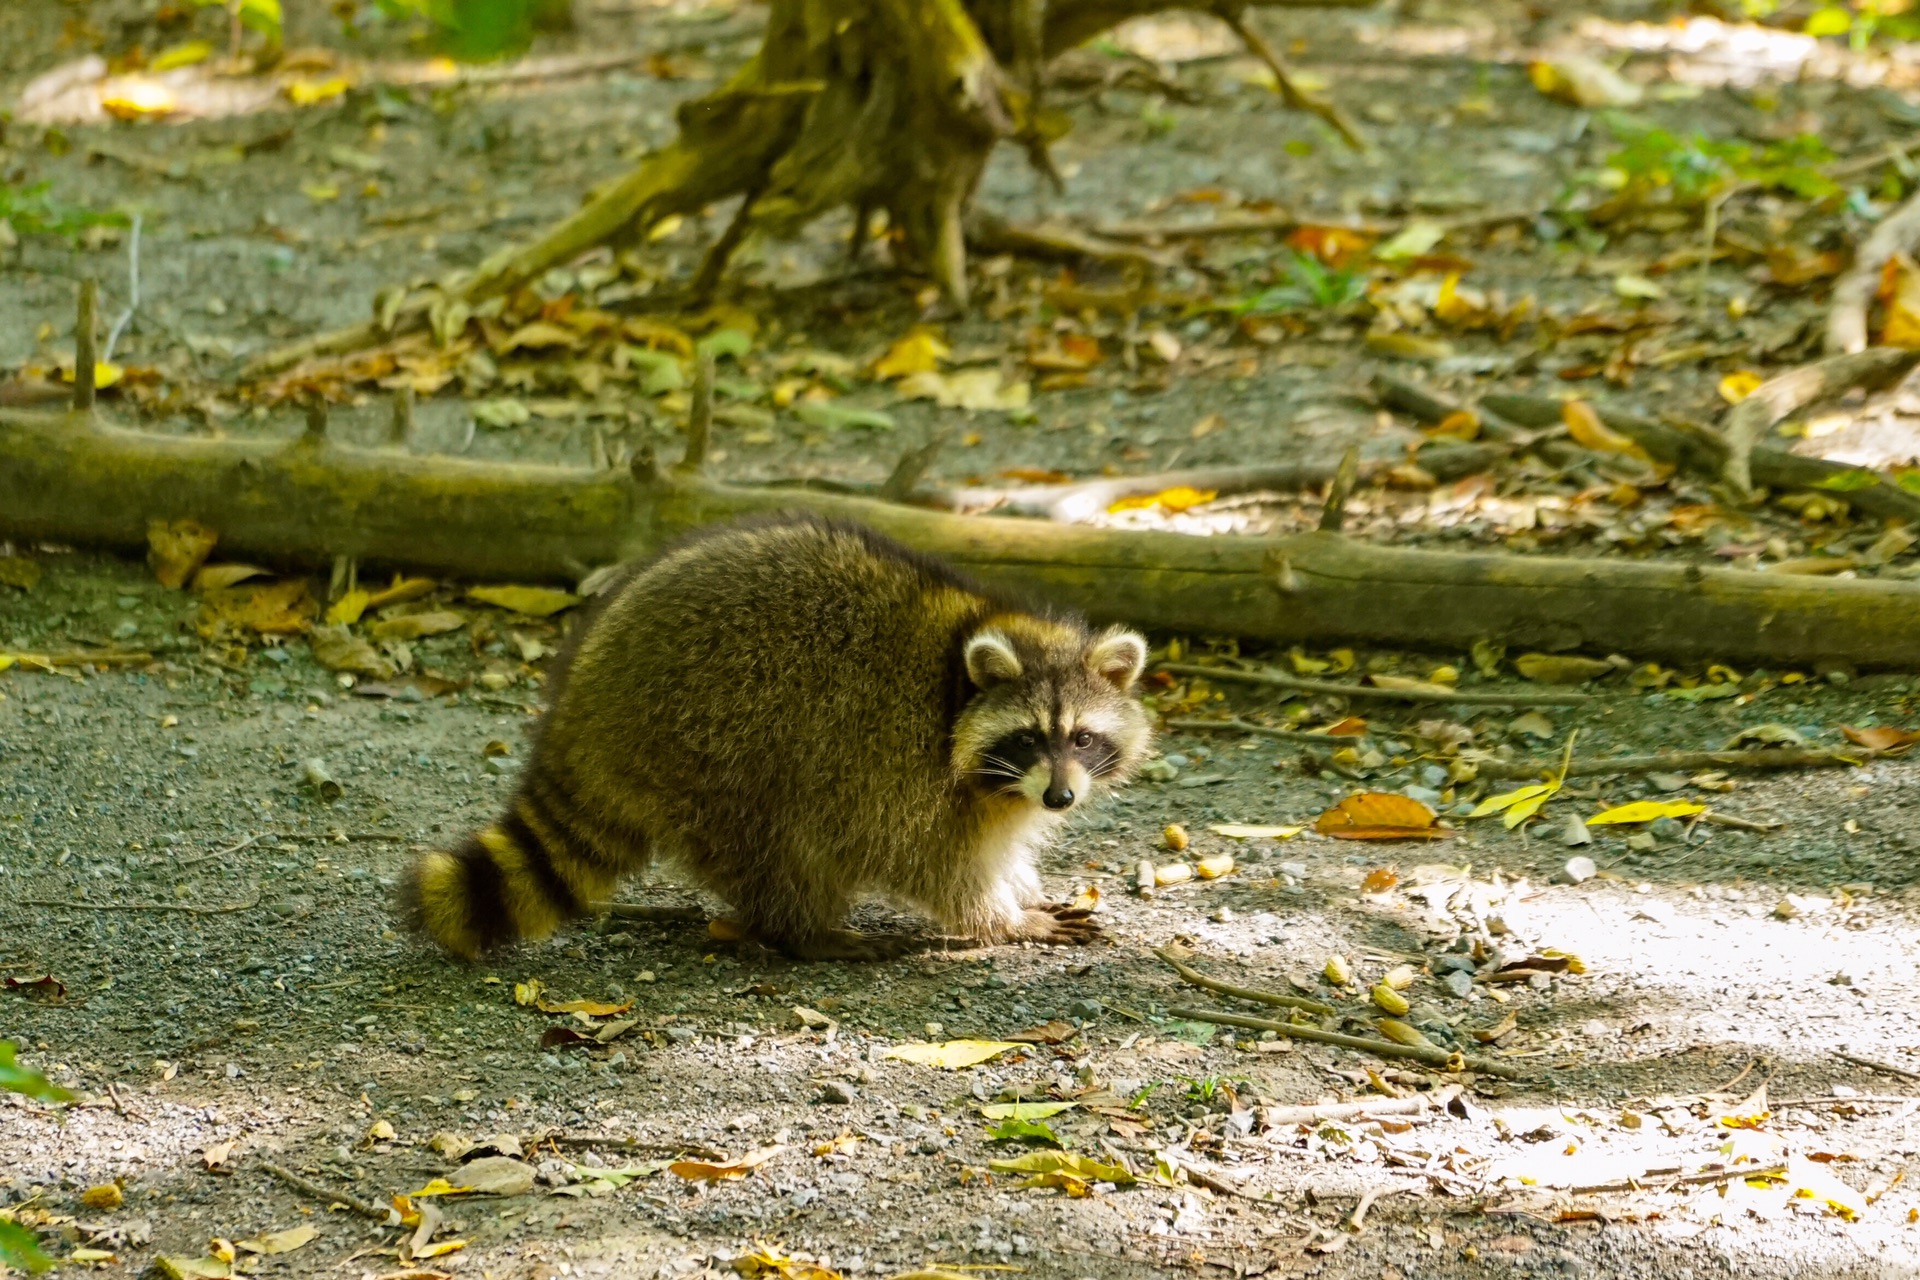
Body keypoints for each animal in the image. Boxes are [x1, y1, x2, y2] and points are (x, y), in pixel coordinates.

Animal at [405, 514, 1144, 955]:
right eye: (1027, 738)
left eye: (1081, 738)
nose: (1059, 799)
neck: (957, 678)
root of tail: (581, 703)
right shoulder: (905, 776)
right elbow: (937, 868)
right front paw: (1004, 919)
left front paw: (1021, 885)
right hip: (718, 750)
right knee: (784, 848)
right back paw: (805, 931)